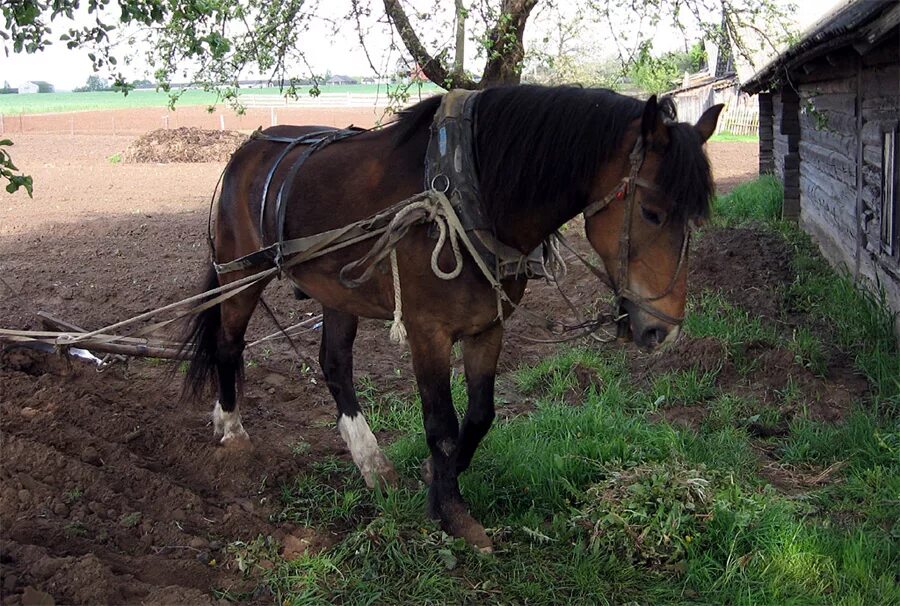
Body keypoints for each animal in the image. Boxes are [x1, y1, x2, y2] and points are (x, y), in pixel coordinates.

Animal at [183, 83, 724, 552]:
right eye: (652, 212)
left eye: (696, 217)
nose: (663, 330)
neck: (466, 195)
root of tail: (248, 148)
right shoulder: (429, 333)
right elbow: (441, 425)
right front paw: (452, 513)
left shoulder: (488, 326)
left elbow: (481, 415)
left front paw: (436, 478)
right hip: (241, 274)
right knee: (229, 344)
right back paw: (231, 429)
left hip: (338, 290)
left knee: (335, 365)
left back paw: (371, 462)